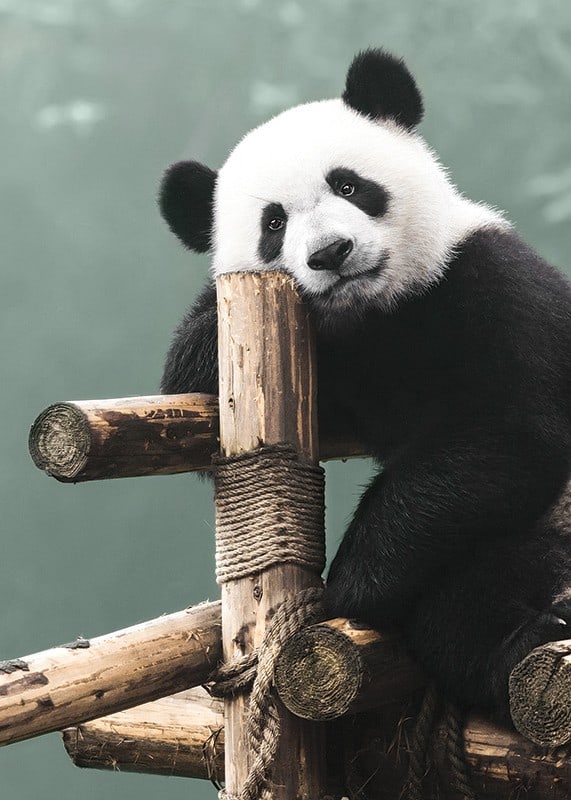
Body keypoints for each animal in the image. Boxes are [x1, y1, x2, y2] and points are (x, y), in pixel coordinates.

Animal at [159, 49, 571, 720]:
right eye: (274, 222)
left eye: (349, 185)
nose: (330, 252)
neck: (378, 311)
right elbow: (184, 382)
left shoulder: (494, 284)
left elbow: (510, 433)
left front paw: (349, 585)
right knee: (466, 603)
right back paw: (528, 635)